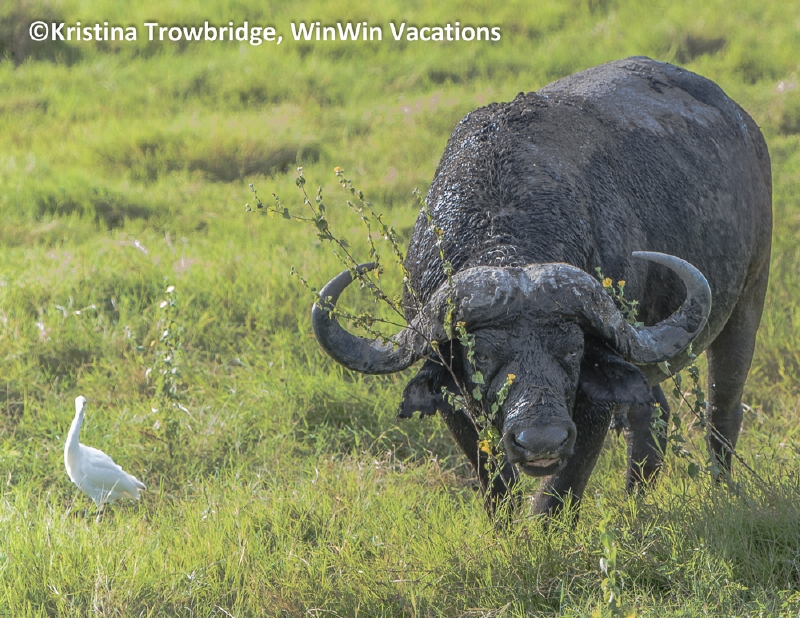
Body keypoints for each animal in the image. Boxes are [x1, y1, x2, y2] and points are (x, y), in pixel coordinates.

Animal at [312, 57, 772, 517]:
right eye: (481, 356)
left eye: (572, 350)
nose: (540, 441)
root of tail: (745, 125)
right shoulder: (453, 397)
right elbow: (496, 485)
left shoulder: (592, 404)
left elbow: (559, 491)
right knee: (651, 420)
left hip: (748, 298)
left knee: (722, 410)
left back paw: (720, 491)